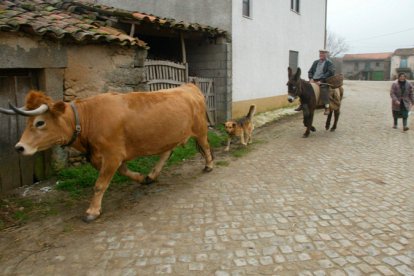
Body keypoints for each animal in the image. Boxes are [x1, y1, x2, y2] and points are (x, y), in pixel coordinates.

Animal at [0, 84, 213, 222]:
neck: (88, 118)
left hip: (200, 128)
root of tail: (188, 86)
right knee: (166, 152)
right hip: (169, 134)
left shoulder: (112, 155)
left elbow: (99, 185)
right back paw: (152, 175)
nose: (19, 147)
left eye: (39, 122)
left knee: (206, 146)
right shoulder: (104, 156)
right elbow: (123, 172)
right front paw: (141, 178)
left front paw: (92, 211)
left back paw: (209, 165)